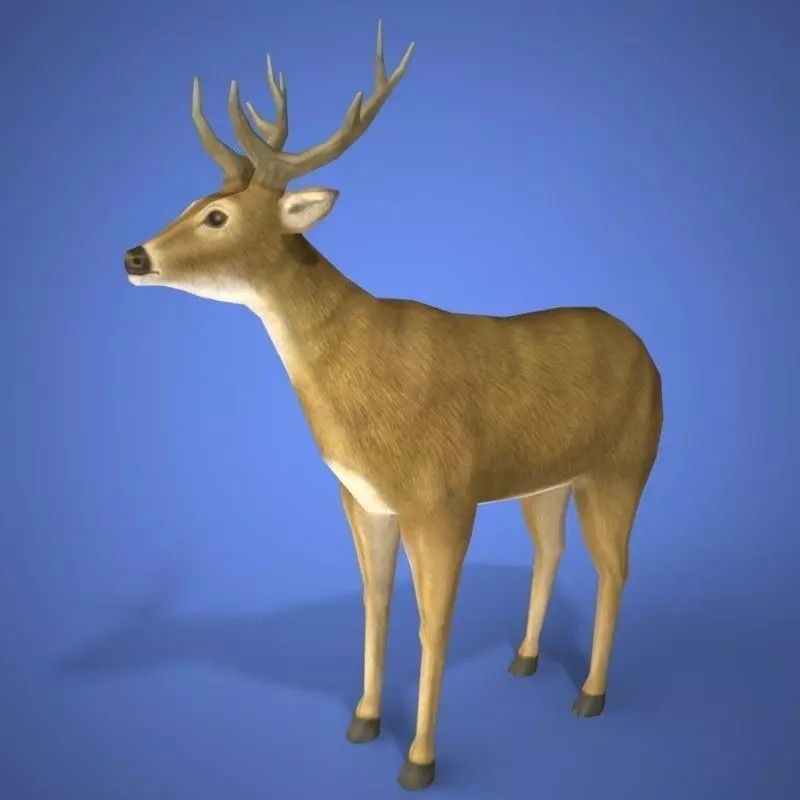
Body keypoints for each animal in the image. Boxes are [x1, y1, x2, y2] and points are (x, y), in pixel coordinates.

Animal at [123, 21, 663, 792]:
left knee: (615, 568)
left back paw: (590, 694)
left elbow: (432, 623)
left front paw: (419, 760)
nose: (134, 257)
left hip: (623, 464)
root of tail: (647, 349)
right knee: (551, 551)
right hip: (545, 480)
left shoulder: (443, 498)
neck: (362, 380)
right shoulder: (362, 497)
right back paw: (526, 659)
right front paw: (364, 721)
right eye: (189, 200)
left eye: (217, 215)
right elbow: (374, 604)